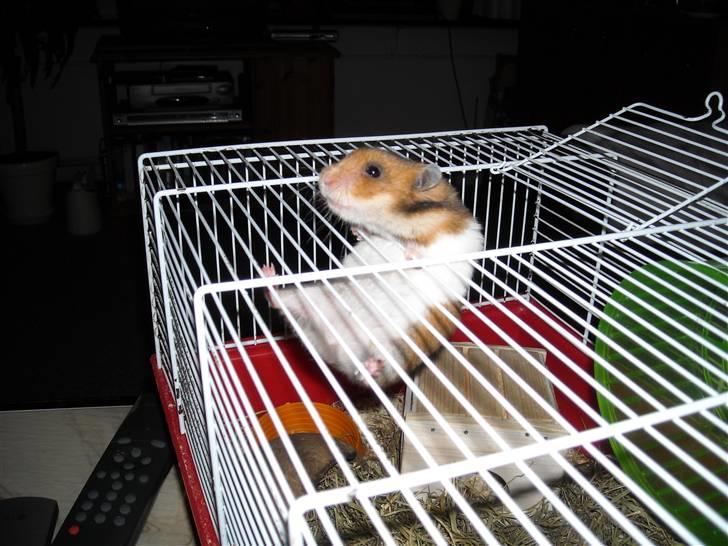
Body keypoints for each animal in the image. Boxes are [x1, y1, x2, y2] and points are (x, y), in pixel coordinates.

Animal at [262, 147, 484, 388]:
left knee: (370, 375)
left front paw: (411, 254)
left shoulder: (450, 236)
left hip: (395, 350)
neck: (389, 229)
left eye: (373, 171)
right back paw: (268, 273)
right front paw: (356, 231)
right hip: (310, 294)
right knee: (279, 301)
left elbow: (427, 250)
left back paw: (372, 367)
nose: (323, 178)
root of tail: (331, 347)